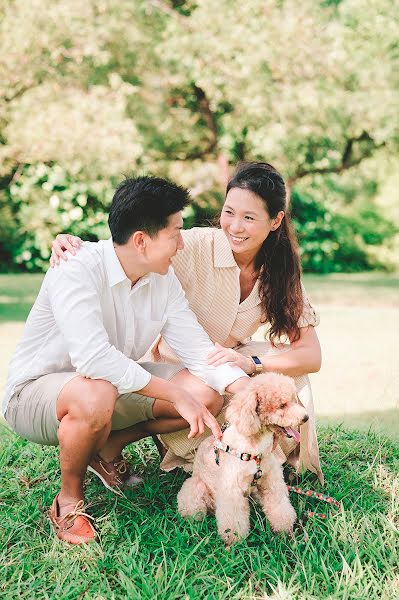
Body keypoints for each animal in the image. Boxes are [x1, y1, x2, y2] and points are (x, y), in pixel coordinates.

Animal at [178, 370, 310, 544]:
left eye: (294, 400)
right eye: (282, 405)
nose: (306, 417)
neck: (255, 450)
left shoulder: (271, 481)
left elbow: (279, 507)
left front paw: (284, 530)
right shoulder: (231, 490)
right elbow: (233, 519)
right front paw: (234, 541)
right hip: (195, 493)